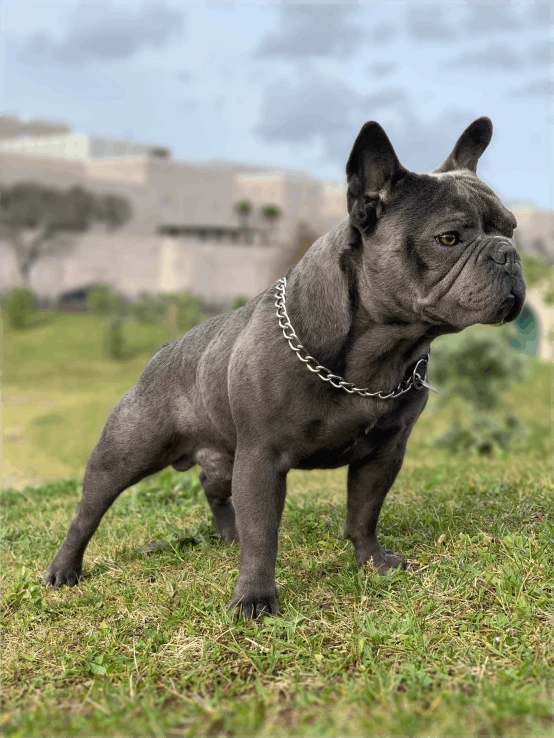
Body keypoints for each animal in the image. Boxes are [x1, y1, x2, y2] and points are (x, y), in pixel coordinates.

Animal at [45, 116, 524, 616]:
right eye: (449, 238)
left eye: (511, 229)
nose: (507, 253)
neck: (379, 354)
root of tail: (163, 351)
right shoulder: (262, 457)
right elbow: (263, 534)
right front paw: (254, 599)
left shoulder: (383, 453)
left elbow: (364, 511)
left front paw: (372, 561)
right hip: (126, 452)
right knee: (87, 511)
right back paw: (64, 569)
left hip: (223, 453)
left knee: (214, 487)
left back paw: (229, 536)